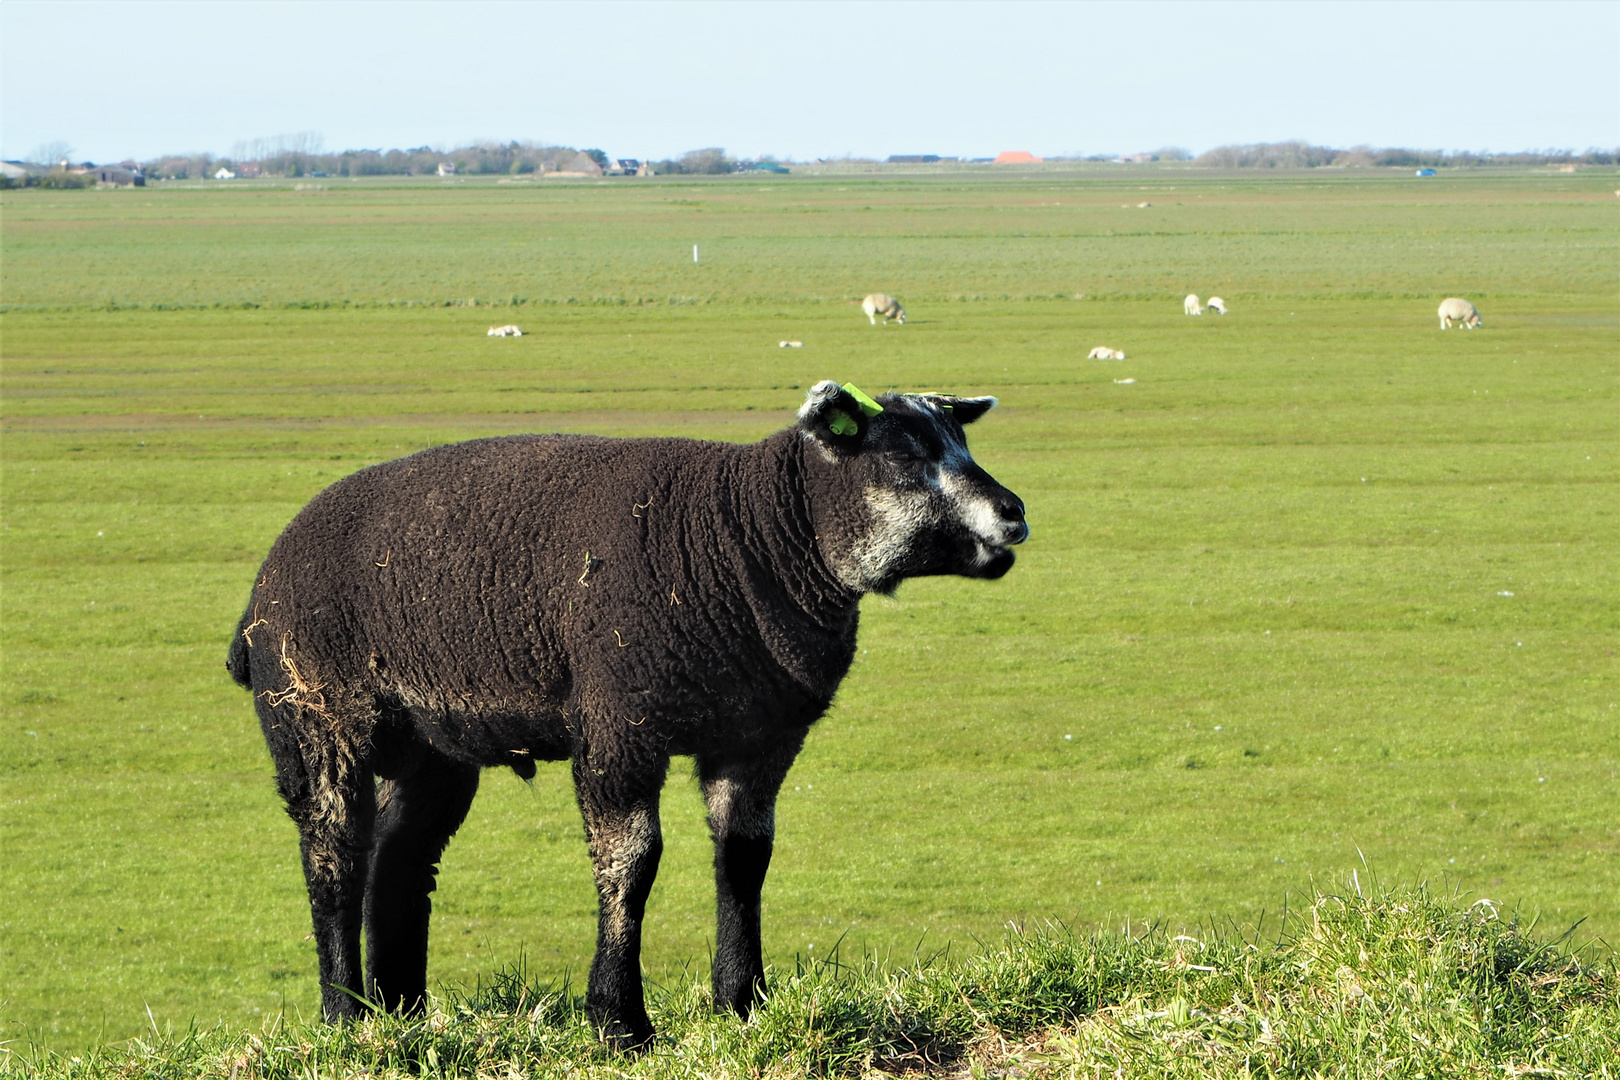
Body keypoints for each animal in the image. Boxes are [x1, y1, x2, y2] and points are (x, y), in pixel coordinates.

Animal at [228, 380, 1023, 1049]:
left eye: (961, 441)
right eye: (901, 455)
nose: (1014, 513)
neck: (749, 536)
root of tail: (259, 596)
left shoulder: (759, 738)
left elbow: (745, 858)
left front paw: (741, 1001)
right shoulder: (619, 726)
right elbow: (631, 863)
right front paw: (618, 1020)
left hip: (432, 748)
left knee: (402, 863)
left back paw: (402, 1013)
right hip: (316, 721)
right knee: (333, 859)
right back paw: (342, 1016)